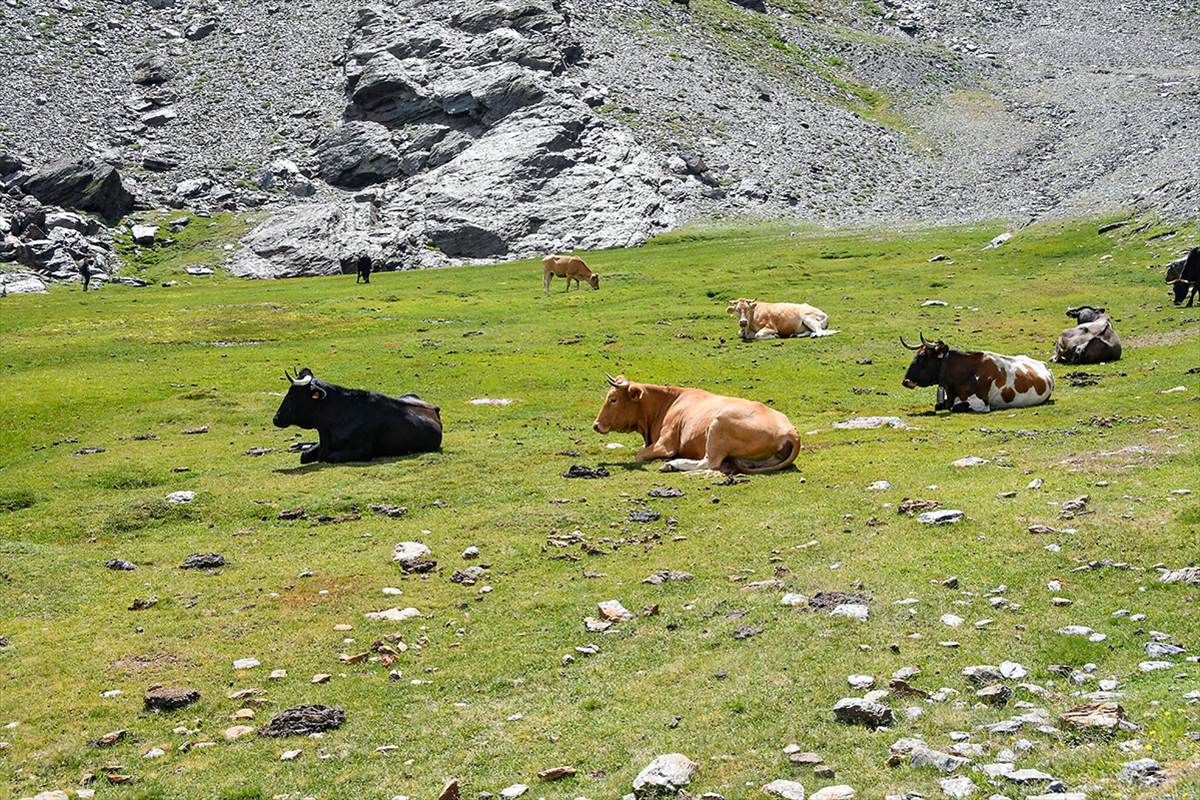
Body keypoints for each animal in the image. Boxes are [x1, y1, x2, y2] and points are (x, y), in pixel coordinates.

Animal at [273, 368, 442, 463]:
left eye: (292, 395)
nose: (276, 418)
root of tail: (434, 408)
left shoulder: (363, 451)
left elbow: (329, 457)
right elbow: (304, 455)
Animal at [591, 374, 799, 474]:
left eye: (613, 399)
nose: (596, 425)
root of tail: (791, 431)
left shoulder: (665, 444)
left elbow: (639, 455)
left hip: (718, 425)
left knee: (709, 463)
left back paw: (673, 465)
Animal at [900, 335, 1054, 413]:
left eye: (921, 357)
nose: (905, 381)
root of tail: (1043, 364)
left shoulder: (982, 404)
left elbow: (955, 408)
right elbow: (938, 405)